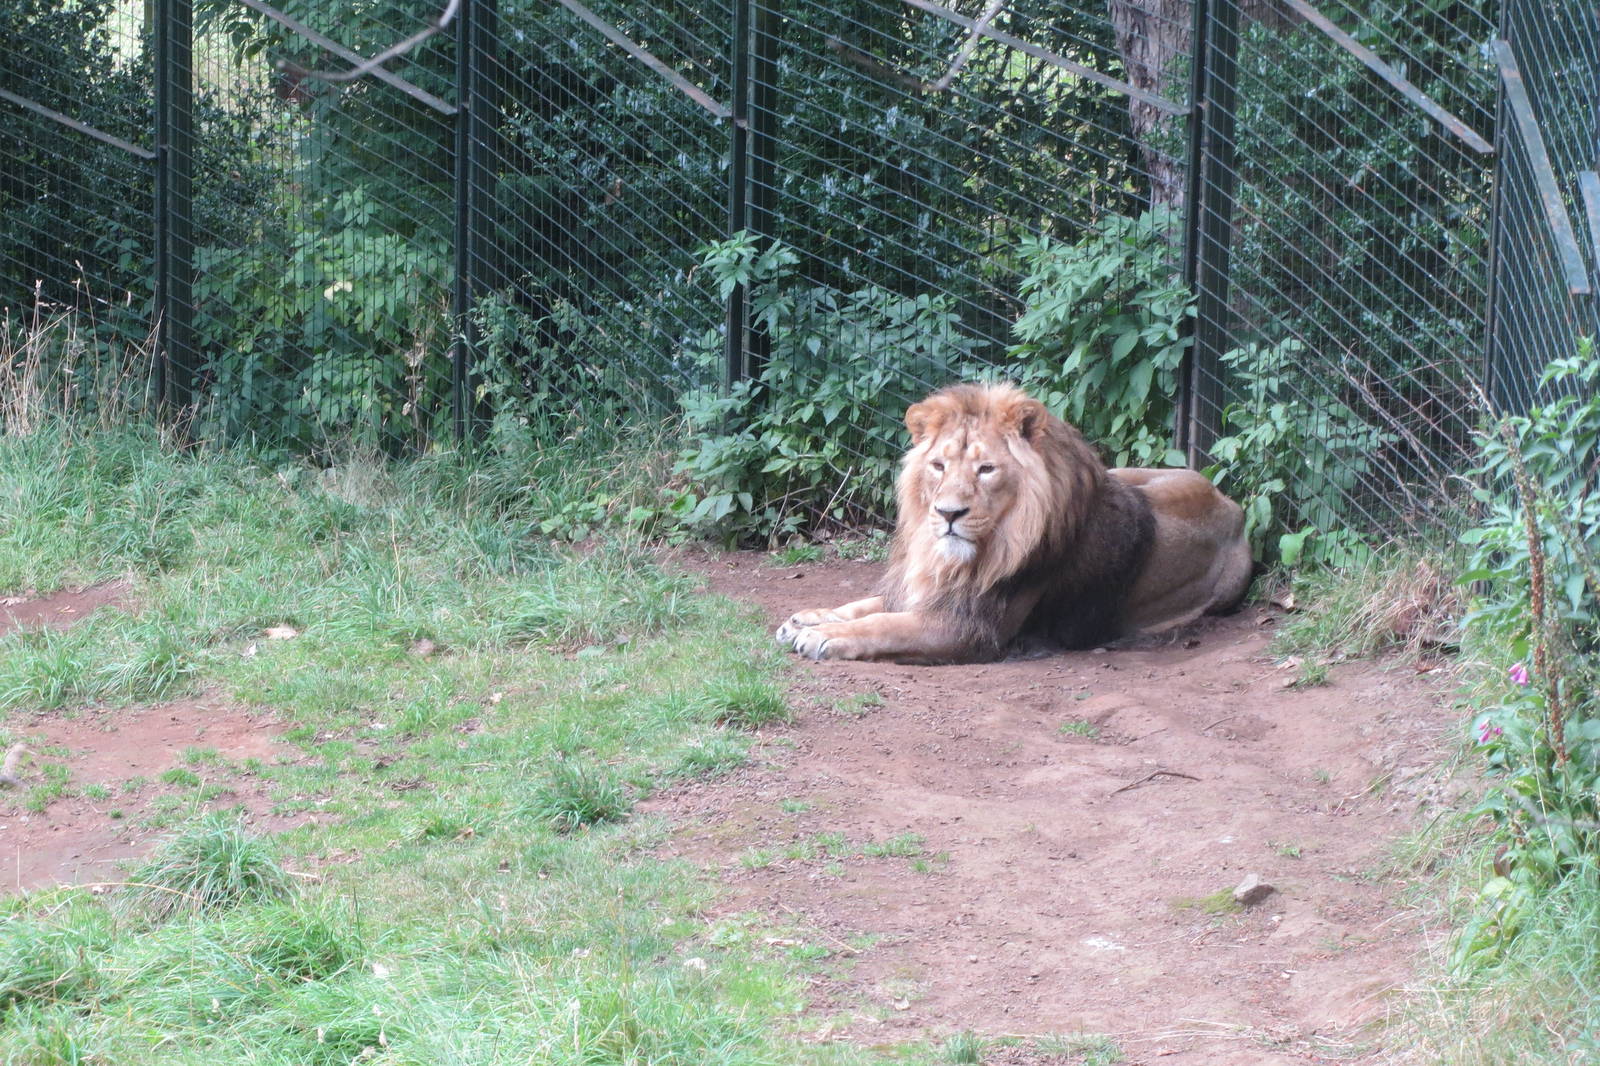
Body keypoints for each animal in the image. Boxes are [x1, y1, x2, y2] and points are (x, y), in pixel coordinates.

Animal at [775, 382, 1253, 663]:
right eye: (938, 466)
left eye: (986, 469)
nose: (948, 514)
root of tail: (1232, 508)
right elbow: (870, 603)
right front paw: (808, 619)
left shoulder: (971, 630)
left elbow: (887, 625)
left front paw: (826, 637)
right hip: (1128, 472)